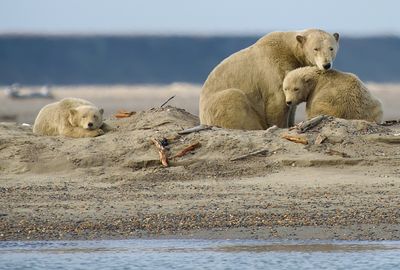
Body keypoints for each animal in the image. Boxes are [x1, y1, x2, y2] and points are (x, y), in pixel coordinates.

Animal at [198, 29, 340, 129]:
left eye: (331, 48)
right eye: (316, 49)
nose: (326, 65)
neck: (290, 51)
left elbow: (292, 102)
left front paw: (291, 123)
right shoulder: (273, 69)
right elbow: (278, 102)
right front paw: (280, 126)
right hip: (216, 105)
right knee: (233, 98)